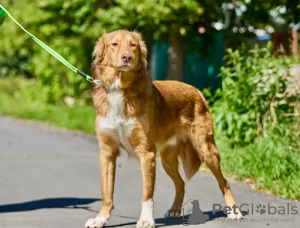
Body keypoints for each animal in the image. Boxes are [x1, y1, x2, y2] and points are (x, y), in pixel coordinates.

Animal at [84, 30, 241, 228]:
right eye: (114, 44)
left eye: (133, 45)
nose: (127, 57)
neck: (119, 88)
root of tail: (197, 91)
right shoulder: (107, 152)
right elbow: (106, 192)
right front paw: (101, 218)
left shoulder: (146, 154)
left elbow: (147, 193)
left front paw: (146, 219)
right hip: (167, 159)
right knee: (181, 184)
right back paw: (175, 210)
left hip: (206, 149)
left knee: (224, 182)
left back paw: (234, 211)